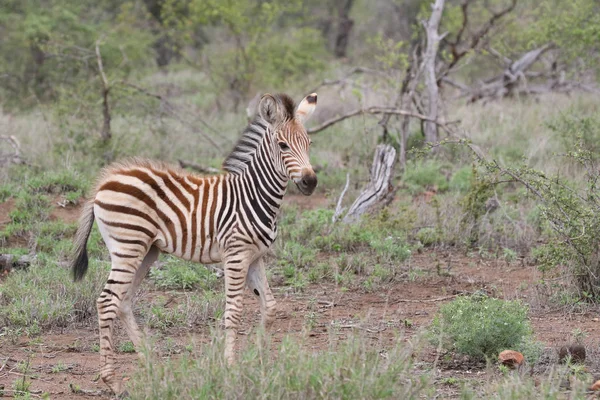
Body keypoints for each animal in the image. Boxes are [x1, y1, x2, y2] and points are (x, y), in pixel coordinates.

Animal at [71, 92, 318, 396]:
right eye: (282, 145)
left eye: (309, 144)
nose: (310, 181)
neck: (254, 195)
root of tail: (105, 181)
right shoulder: (236, 255)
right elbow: (233, 311)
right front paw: (230, 368)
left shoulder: (255, 257)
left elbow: (270, 306)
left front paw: (259, 362)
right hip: (128, 247)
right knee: (107, 301)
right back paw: (113, 381)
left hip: (146, 251)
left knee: (123, 300)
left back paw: (151, 364)